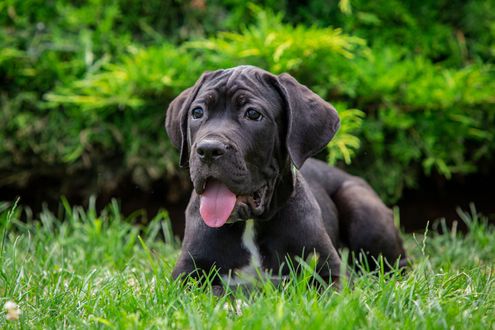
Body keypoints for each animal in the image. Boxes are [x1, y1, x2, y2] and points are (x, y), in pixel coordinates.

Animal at [167, 65, 406, 284]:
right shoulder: (186, 277)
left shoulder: (331, 273)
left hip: (361, 205)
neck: (249, 224)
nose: (208, 149)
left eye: (253, 114)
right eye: (197, 113)